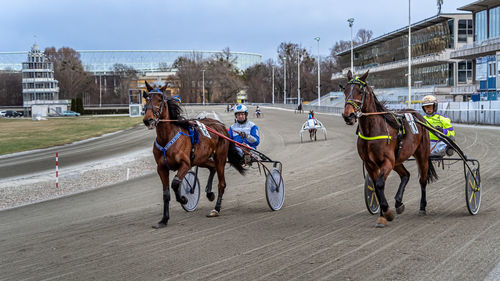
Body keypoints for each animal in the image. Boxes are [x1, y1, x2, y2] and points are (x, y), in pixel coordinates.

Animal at [142, 81, 245, 228]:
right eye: (147, 99)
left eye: (160, 99)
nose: (148, 120)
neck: (167, 137)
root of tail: (221, 126)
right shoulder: (161, 168)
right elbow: (166, 194)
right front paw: (164, 220)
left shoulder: (185, 164)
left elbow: (175, 184)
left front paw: (184, 199)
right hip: (201, 159)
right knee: (212, 167)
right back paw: (209, 193)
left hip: (220, 158)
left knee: (222, 183)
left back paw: (216, 209)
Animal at [340, 70, 438, 228]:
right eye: (345, 90)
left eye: (360, 91)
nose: (348, 115)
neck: (373, 130)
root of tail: (418, 115)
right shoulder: (370, 164)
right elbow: (375, 186)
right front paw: (383, 215)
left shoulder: (387, 161)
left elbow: (380, 184)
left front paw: (387, 212)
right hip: (397, 160)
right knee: (406, 175)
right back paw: (398, 203)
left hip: (421, 154)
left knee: (422, 180)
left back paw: (422, 208)